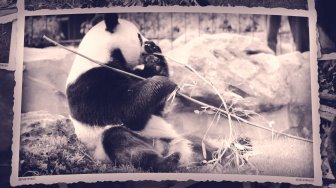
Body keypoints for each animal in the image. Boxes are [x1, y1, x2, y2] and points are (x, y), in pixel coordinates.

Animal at [65, 13, 213, 172]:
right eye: (139, 37)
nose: (149, 44)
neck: (100, 54)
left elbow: (154, 109)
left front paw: (156, 61)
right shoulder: (91, 84)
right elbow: (128, 112)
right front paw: (164, 82)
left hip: (179, 138)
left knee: (202, 144)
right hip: (106, 145)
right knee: (123, 142)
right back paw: (168, 161)